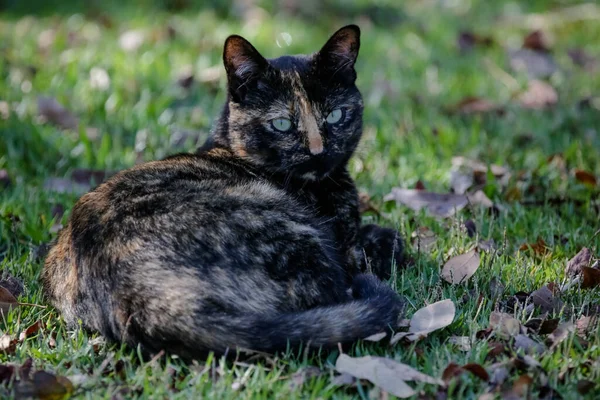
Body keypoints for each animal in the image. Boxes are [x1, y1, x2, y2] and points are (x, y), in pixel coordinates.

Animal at [44, 25, 406, 358]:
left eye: (334, 115)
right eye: (281, 124)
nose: (318, 153)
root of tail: (140, 297)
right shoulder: (349, 249)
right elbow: (388, 240)